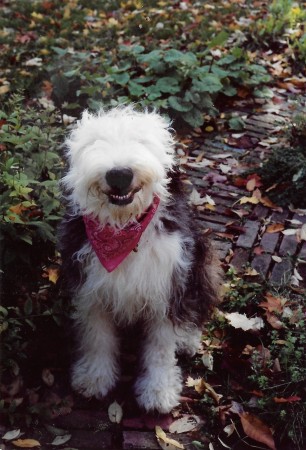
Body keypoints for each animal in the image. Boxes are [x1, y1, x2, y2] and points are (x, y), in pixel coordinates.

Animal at [58, 106, 220, 414]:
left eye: (141, 141)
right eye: (95, 142)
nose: (119, 175)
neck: (125, 230)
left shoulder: (167, 285)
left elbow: (161, 347)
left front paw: (158, 391)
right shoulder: (91, 289)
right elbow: (96, 336)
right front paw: (94, 378)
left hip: (202, 263)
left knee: (195, 306)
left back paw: (187, 338)